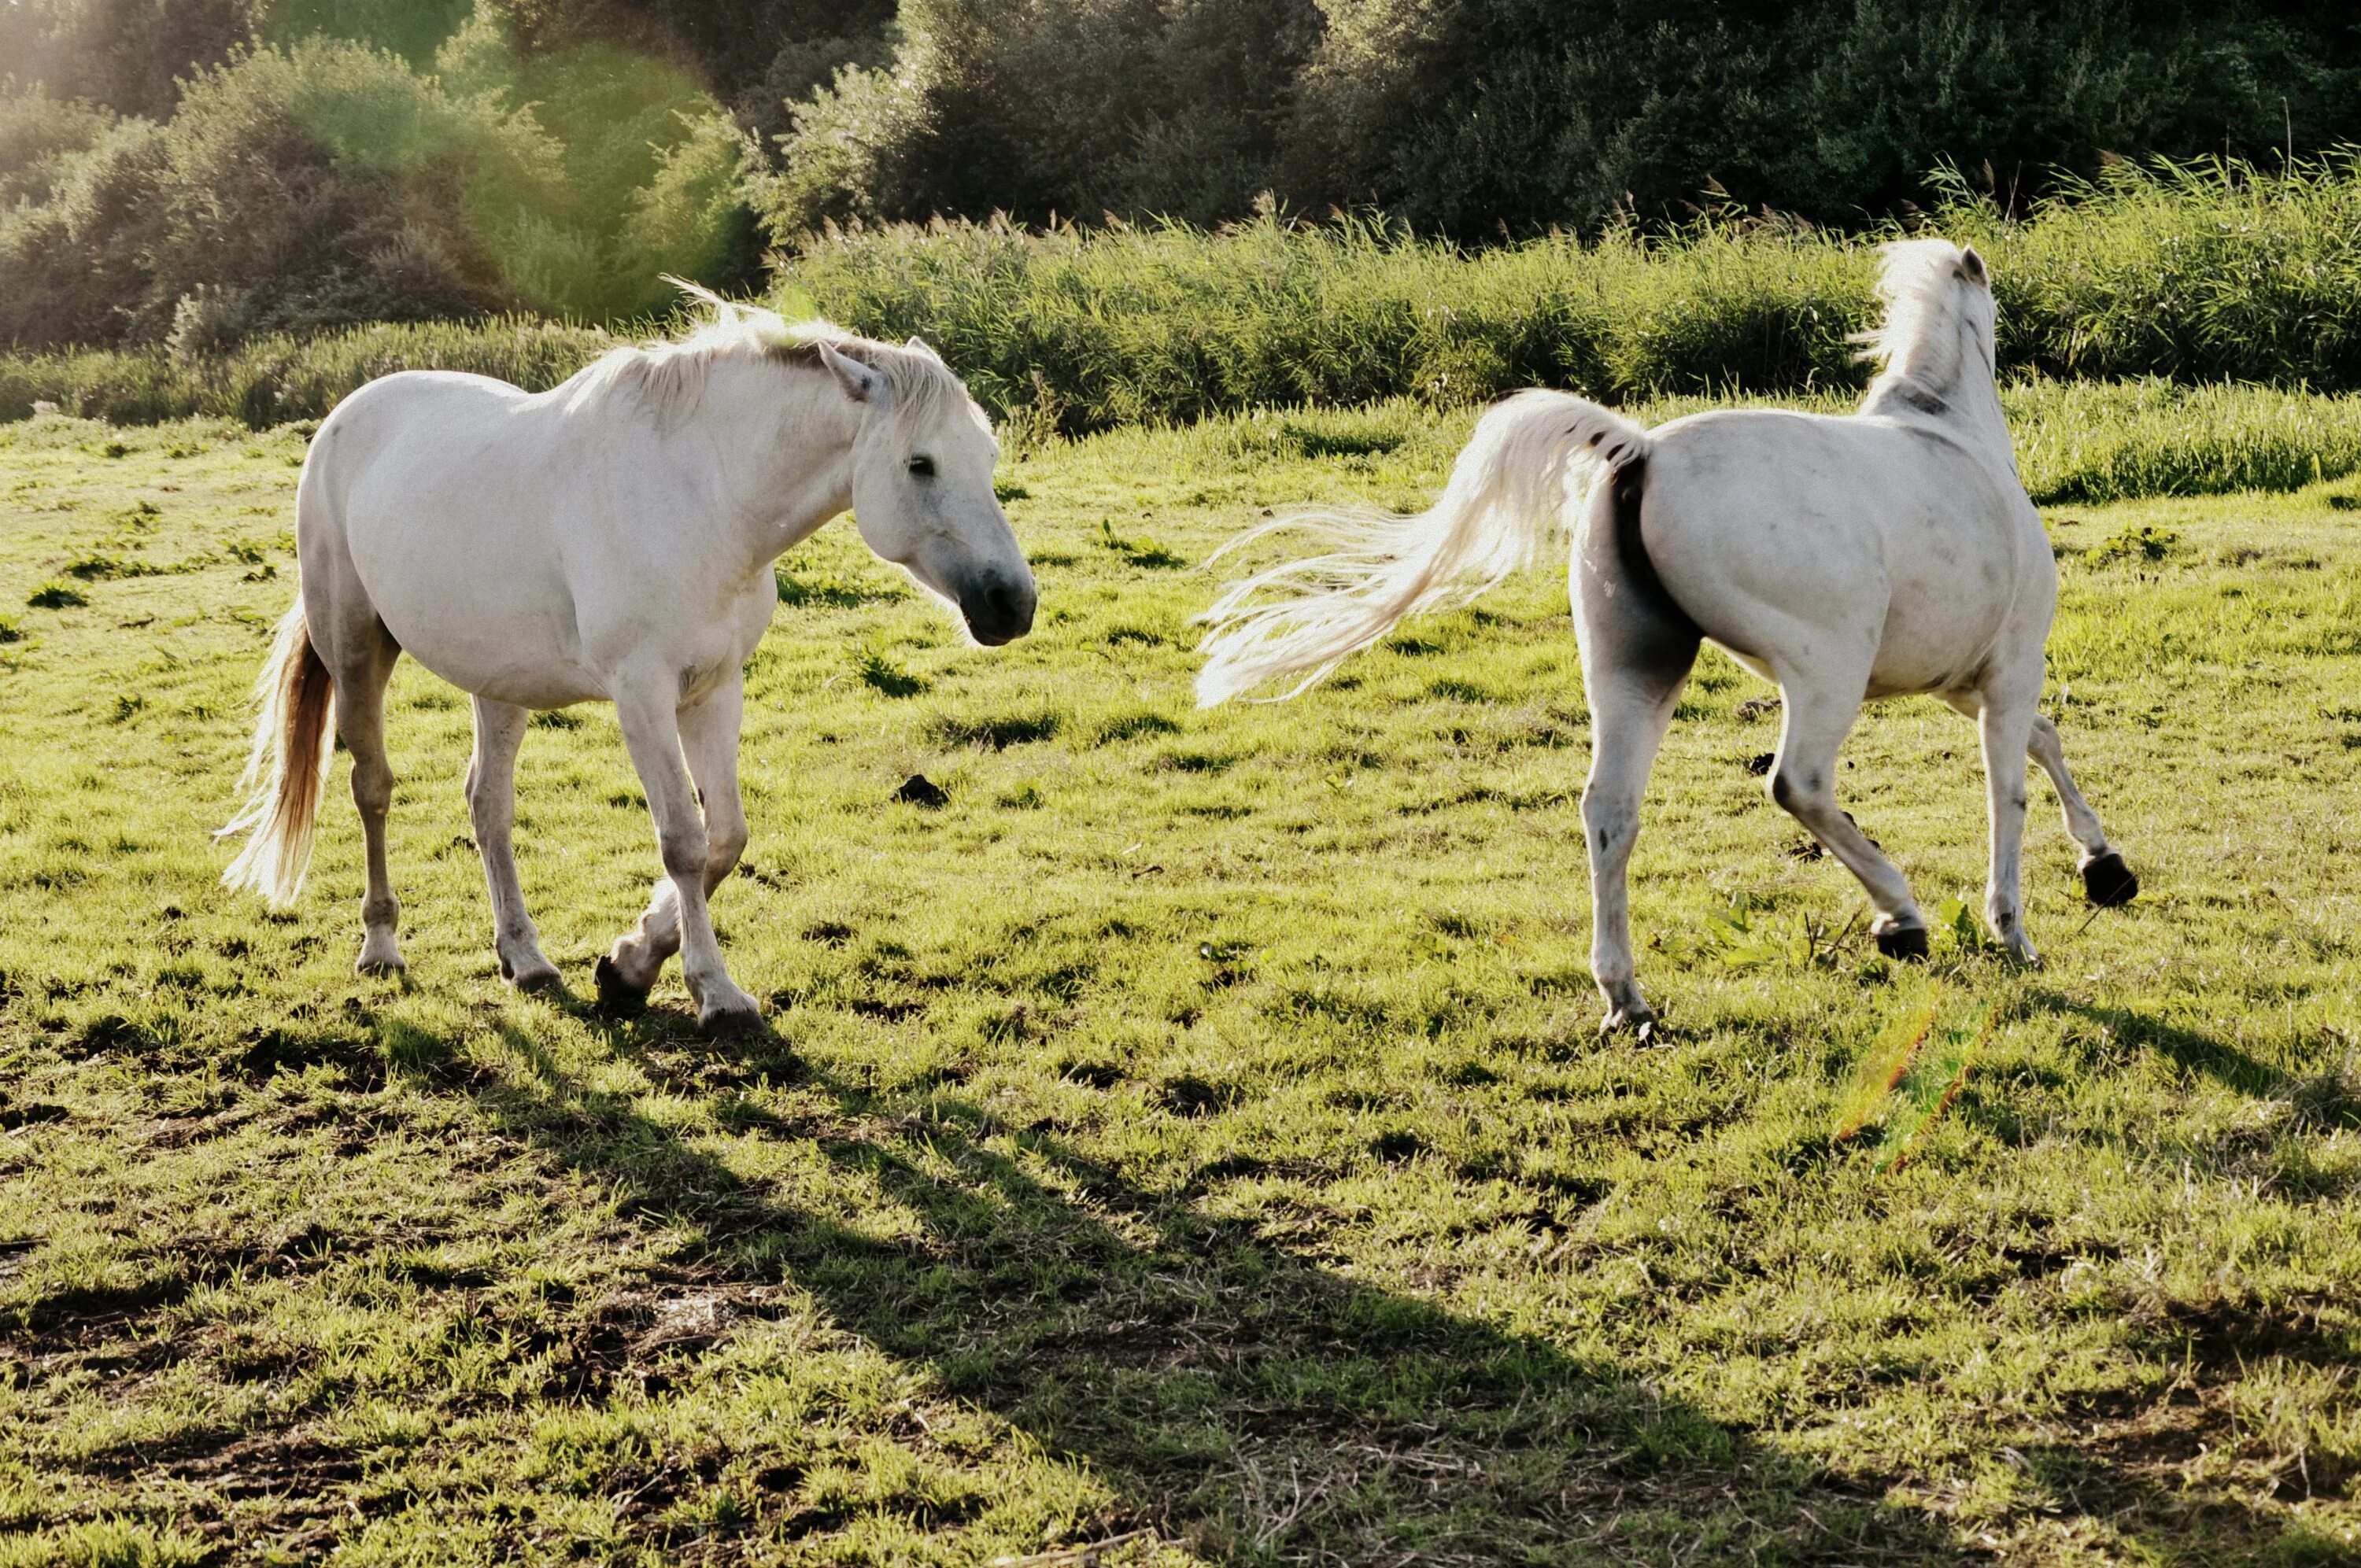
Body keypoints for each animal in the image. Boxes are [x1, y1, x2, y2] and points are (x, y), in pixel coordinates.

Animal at [217, 290, 1029, 1029]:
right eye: (920, 464)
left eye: (988, 458)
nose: (1012, 603)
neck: (702, 498)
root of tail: (344, 417)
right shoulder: (642, 694)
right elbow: (683, 840)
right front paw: (713, 991)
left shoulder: (716, 688)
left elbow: (726, 836)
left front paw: (631, 962)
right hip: (356, 649)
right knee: (372, 787)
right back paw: (382, 946)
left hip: (497, 682)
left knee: (488, 805)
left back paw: (527, 958)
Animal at [1199, 238, 2144, 1034]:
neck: (1953, 436)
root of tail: (1641, 453)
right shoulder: (2008, 667)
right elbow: (2009, 787)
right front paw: (2016, 928)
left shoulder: (1958, 679)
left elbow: (2044, 743)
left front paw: (2106, 865)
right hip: (1824, 669)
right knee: (1797, 784)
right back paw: (1899, 918)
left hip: (1635, 671)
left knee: (1608, 811)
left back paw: (1627, 999)